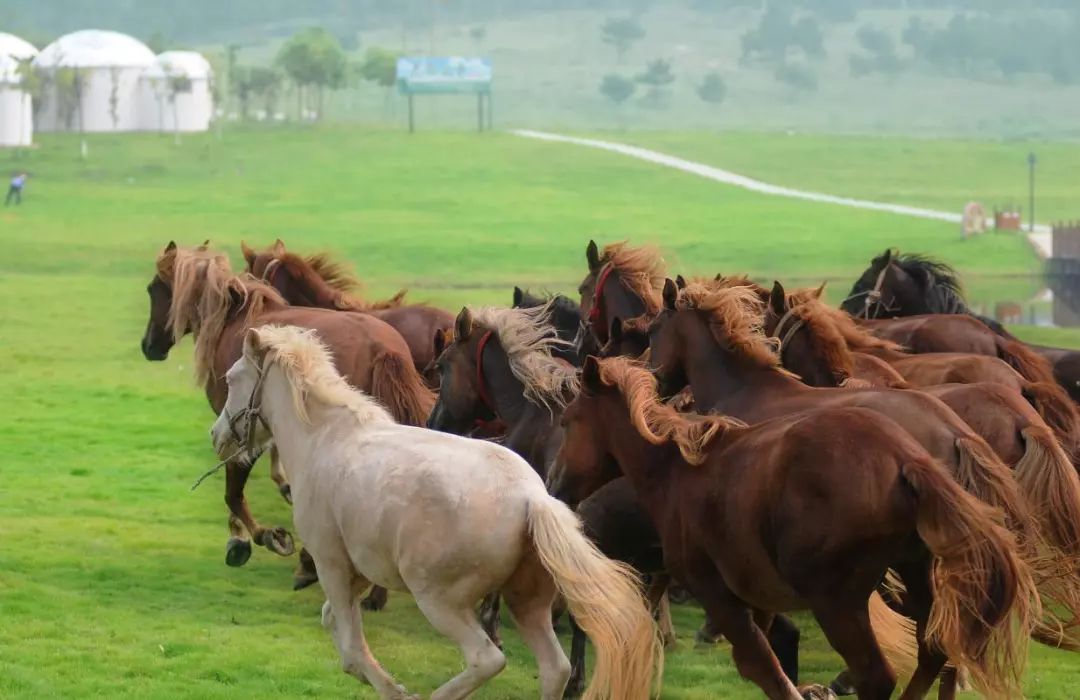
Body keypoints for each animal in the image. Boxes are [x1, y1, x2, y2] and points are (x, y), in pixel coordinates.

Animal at [141, 243, 432, 600]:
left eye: (154, 288)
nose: (149, 346)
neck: (233, 320)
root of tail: (382, 347)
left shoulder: (242, 424)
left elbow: (233, 491)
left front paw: (252, 538)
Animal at [210, 326, 660, 700]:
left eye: (231, 379)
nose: (217, 436)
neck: (322, 438)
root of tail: (533, 498)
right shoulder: (361, 571)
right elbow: (332, 623)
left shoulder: (331, 563)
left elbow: (352, 650)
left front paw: (395, 691)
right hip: (527, 602)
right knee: (556, 669)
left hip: (441, 601)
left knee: (487, 659)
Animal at [548, 356, 1036, 700]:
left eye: (567, 420)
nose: (555, 485)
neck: (677, 471)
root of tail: (905, 459)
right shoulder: (757, 599)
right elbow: (767, 666)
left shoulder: (718, 594)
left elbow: (762, 667)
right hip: (915, 577)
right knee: (935, 648)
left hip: (838, 601)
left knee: (877, 676)